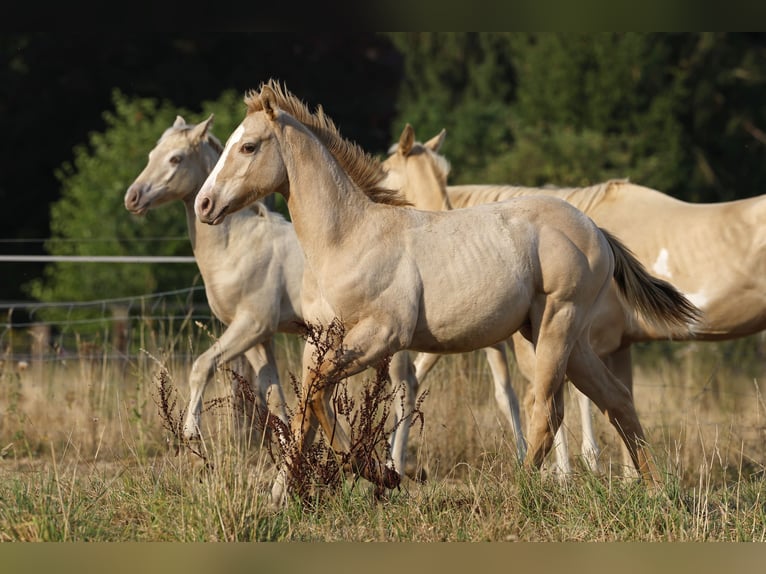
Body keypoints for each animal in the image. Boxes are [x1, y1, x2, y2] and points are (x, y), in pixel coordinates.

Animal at [194, 79, 701, 504]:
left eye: (248, 146)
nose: (204, 204)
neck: (350, 237)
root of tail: (594, 228)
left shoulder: (383, 335)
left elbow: (319, 396)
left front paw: (379, 473)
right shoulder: (319, 340)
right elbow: (305, 411)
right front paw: (280, 496)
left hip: (559, 322)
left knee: (548, 409)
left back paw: (518, 492)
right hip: (559, 336)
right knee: (616, 398)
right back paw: (657, 491)